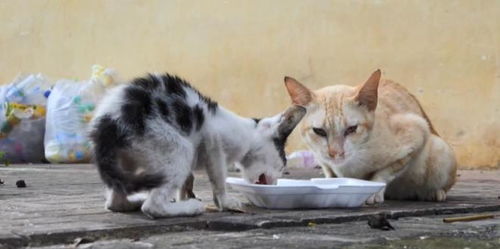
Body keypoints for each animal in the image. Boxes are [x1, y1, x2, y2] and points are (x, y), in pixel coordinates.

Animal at [89, 74, 304, 218]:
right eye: (282, 165)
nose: (275, 184)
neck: (247, 134)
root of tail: (108, 123)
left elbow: (187, 180)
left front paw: (184, 194)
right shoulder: (213, 141)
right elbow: (218, 177)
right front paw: (224, 202)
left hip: (127, 162)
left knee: (115, 201)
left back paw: (133, 201)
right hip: (177, 147)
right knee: (153, 207)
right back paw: (189, 208)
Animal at [284, 69, 456, 202]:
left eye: (351, 129)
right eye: (319, 131)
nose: (336, 153)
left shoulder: (417, 131)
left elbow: (382, 174)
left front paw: (373, 191)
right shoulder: (321, 157)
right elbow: (329, 172)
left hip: (440, 150)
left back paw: (434, 192)